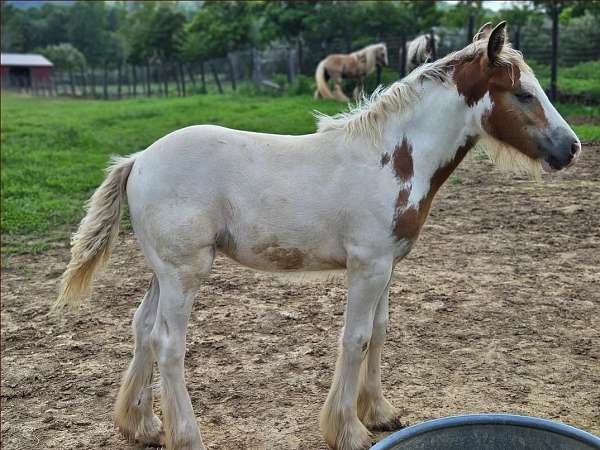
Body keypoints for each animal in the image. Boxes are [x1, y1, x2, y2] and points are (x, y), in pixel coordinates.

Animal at [57, 22, 580, 450]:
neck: (394, 158)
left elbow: (380, 331)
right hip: (185, 272)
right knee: (168, 344)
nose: (571, 148)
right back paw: (187, 438)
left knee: (143, 329)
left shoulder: (387, 266)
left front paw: (381, 413)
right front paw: (348, 430)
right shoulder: (367, 266)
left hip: (162, 272)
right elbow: (356, 338)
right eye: (524, 94)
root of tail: (138, 158)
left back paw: (141, 426)